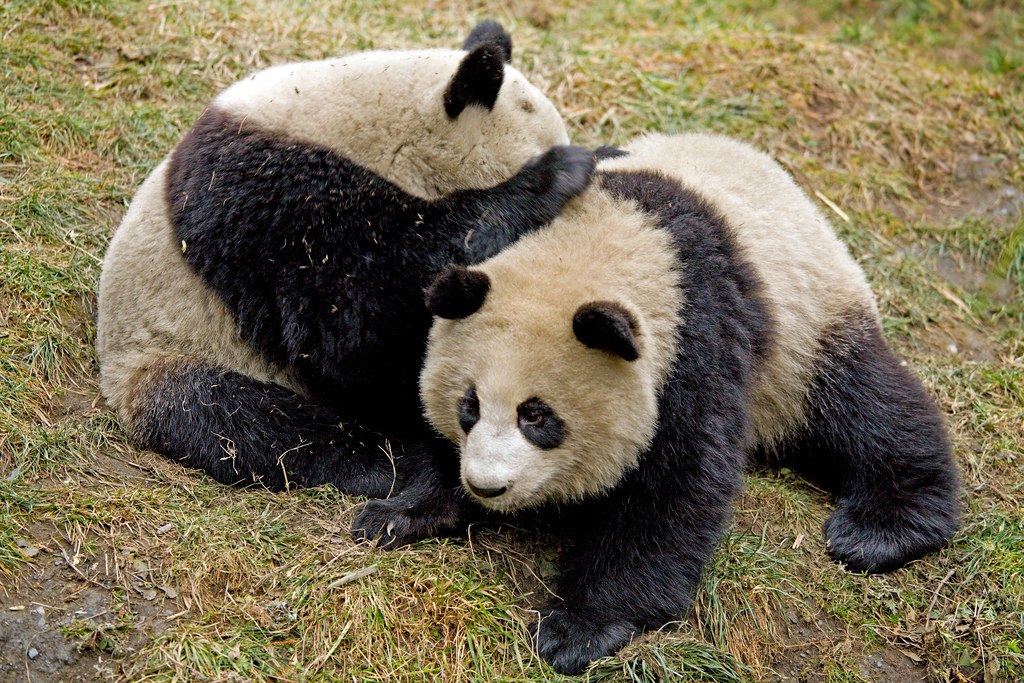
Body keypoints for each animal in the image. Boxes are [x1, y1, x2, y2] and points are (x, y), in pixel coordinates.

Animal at [95, 21, 596, 508]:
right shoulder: (273, 196)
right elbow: (347, 324)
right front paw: (553, 176)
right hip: (181, 351)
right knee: (254, 422)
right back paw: (407, 467)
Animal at [371, 132, 961, 674]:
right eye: (468, 406)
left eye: (536, 416)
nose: (487, 487)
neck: (607, 239)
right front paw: (401, 514)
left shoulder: (696, 339)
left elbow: (675, 487)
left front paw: (579, 629)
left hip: (805, 327)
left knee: (864, 404)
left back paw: (880, 529)